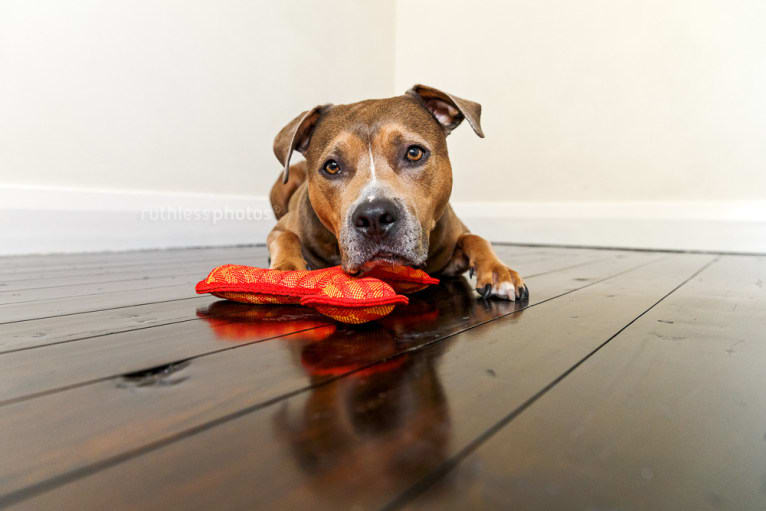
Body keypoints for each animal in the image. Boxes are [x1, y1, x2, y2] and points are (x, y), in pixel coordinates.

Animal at [266, 83, 528, 300]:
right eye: (332, 166)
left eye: (414, 152)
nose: (373, 217)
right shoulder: (281, 228)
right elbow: (285, 237)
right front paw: (287, 271)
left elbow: (476, 238)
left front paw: (499, 272)